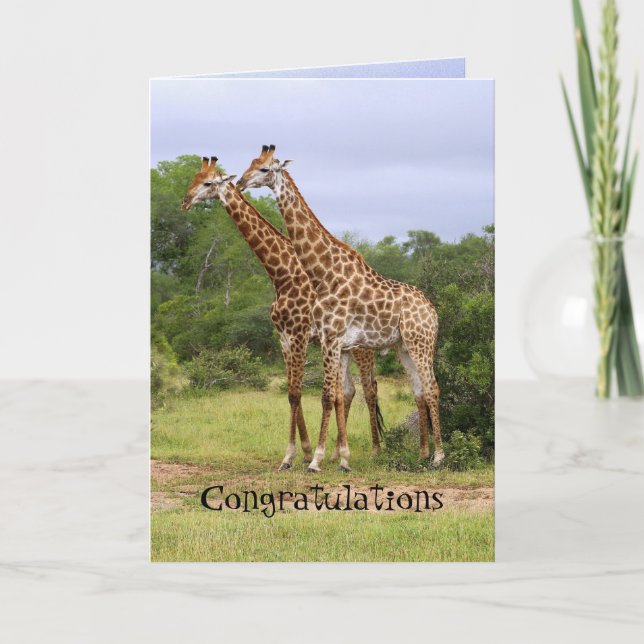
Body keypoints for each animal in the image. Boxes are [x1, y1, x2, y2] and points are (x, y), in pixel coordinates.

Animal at [181, 157, 383, 471]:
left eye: (208, 183)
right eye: (194, 179)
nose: (185, 201)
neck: (282, 273)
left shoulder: (299, 333)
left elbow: (298, 392)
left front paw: (303, 454)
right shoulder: (284, 337)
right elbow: (292, 393)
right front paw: (302, 454)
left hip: (363, 349)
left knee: (370, 388)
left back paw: (373, 451)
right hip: (344, 348)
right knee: (347, 391)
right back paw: (338, 454)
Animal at [237, 146, 444, 473]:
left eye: (265, 168)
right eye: (251, 163)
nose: (241, 182)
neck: (323, 273)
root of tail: (433, 310)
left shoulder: (327, 338)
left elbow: (324, 396)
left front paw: (315, 460)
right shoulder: (329, 340)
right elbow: (332, 395)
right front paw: (334, 458)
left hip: (419, 343)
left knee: (430, 388)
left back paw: (437, 457)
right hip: (404, 347)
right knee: (420, 390)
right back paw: (422, 455)